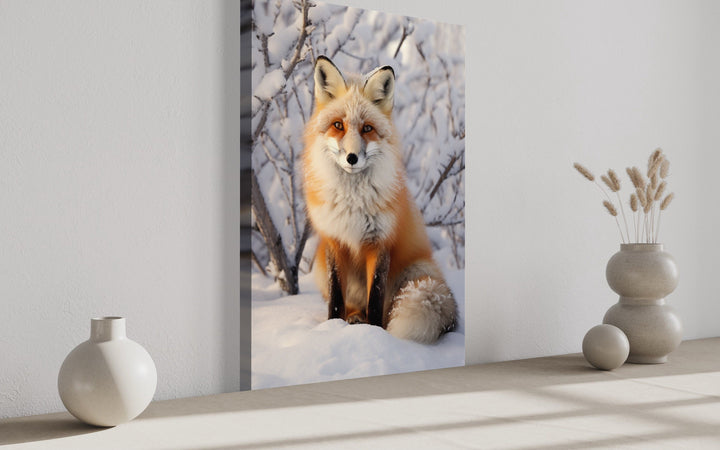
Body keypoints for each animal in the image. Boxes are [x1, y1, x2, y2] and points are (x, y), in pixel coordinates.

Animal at [301, 56, 457, 344]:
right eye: (338, 125)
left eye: (367, 128)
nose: (352, 157)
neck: (352, 201)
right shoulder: (334, 240)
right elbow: (336, 299)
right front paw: (331, 328)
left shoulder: (380, 242)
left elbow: (375, 298)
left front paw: (375, 335)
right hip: (318, 267)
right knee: (351, 304)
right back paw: (353, 317)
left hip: (414, 273)